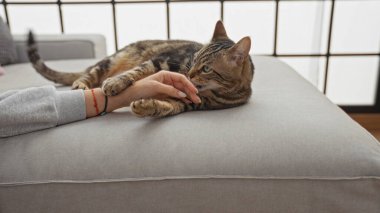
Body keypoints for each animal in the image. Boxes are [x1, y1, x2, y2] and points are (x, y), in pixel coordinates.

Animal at [27, 20, 255, 117]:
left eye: (206, 68)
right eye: (195, 58)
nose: (189, 74)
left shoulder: (190, 103)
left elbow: (167, 107)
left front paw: (146, 107)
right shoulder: (161, 62)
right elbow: (136, 72)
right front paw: (116, 83)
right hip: (112, 60)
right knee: (90, 73)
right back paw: (82, 85)